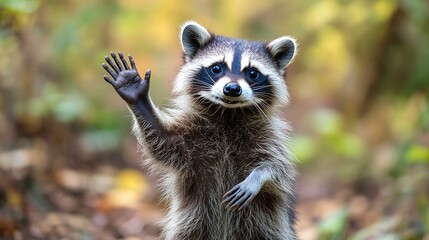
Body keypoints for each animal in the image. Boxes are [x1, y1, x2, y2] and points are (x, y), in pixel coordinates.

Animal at [101, 21, 298, 239]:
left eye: (252, 73)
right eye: (217, 68)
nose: (232, 89)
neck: (228, 114)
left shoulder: (269, 136)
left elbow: (278, 168)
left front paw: (257, 177)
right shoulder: (191, 139)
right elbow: (161, 142)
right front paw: (138, 97)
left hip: (265, 226)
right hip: (192, 222)